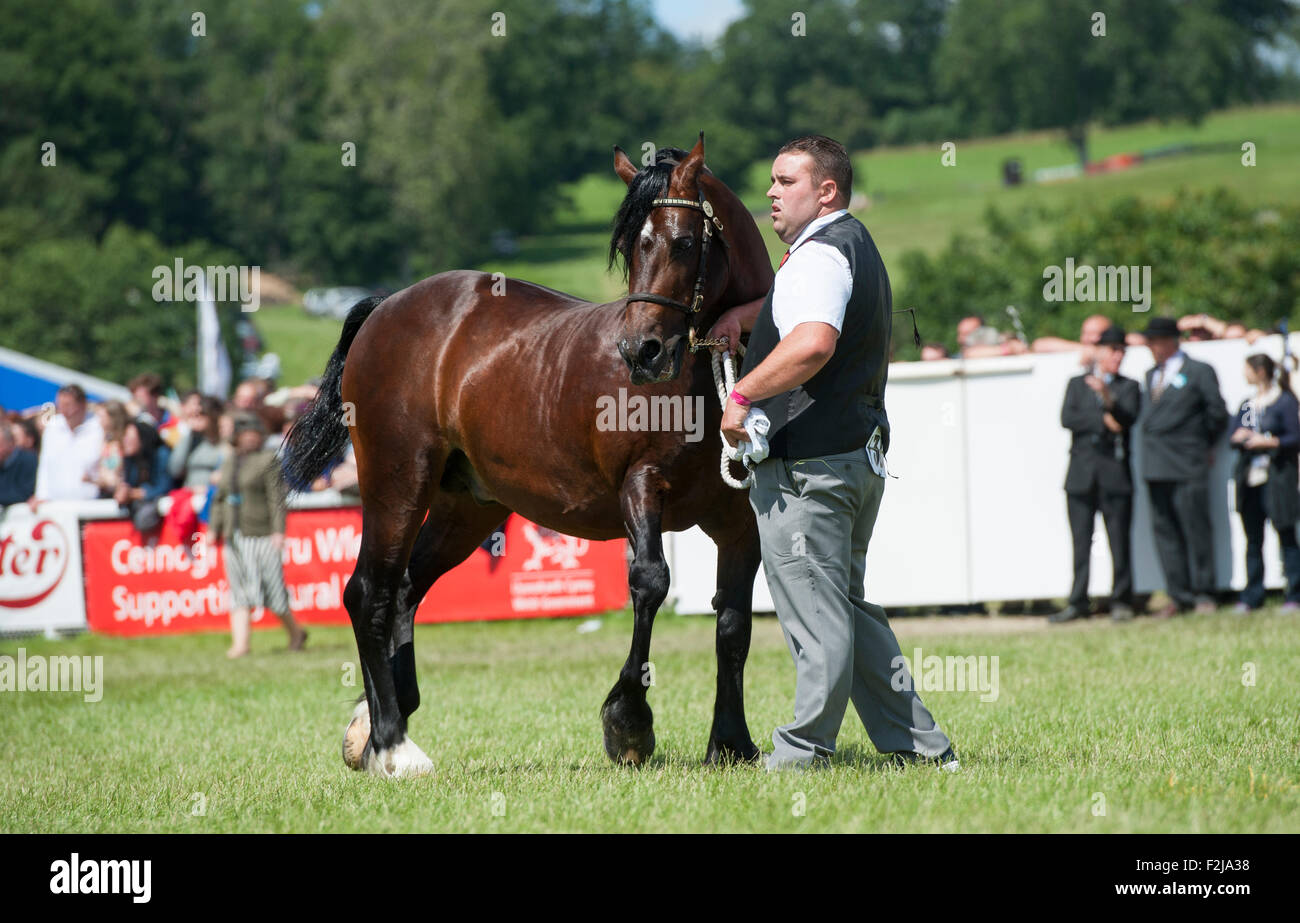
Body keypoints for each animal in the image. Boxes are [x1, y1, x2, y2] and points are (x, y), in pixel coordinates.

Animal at [282, 133, 769, 774]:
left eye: (685, 242)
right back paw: (392, 742)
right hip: (396, 483)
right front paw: (628, 721)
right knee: (369, 592)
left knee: (406, 588)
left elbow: (733, 622)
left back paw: (380, 719)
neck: (705, 376)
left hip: (468, 508)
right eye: (630, 247)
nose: (642, 351)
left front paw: (732, 741)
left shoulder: (740, 521)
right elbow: (650, 583)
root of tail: (387, 308)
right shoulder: (641, 486)